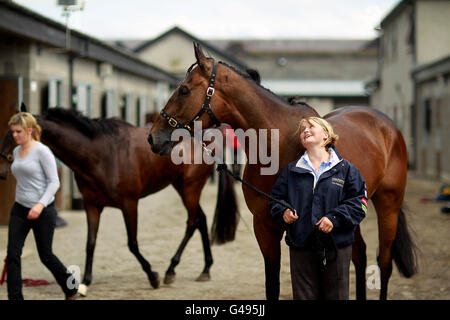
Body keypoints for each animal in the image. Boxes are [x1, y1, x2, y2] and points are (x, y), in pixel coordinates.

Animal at [0, 104, 237, 296]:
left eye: (15, 135)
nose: (2, 169)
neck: (101, 154)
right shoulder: (91, 206)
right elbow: (90, 243)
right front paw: (85, 281)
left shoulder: (129, 204)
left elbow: (132, 243)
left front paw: (152, 276)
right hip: (182, 187)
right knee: (201, 219)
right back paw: (205, 269)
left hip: (190, 188)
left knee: (192, 222)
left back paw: (171, 270)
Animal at [148, 42, 418, 300]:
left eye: (184, 90)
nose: (152, 137)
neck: (278, 145)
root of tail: (388, 125)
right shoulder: (265, 227)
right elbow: (272, 285)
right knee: (359, 255)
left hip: (388, 204)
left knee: (384, 263)